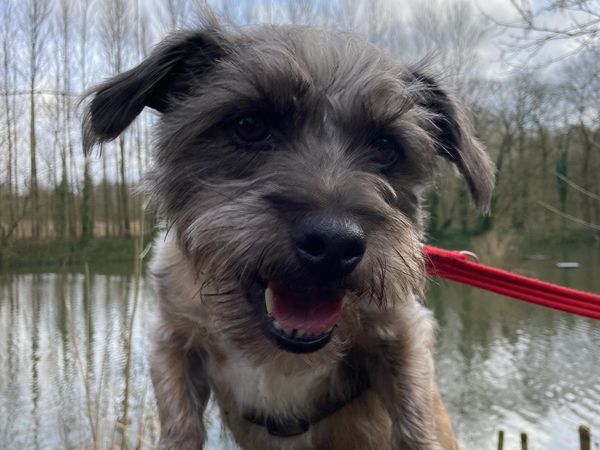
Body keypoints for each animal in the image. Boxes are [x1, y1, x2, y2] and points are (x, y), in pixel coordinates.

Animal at [85, 14, 496, 450]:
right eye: (250, 125)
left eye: (386, 147)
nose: (335, 244)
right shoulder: (172, 338)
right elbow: (180, 425)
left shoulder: (403, 334)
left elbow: (415, 426)